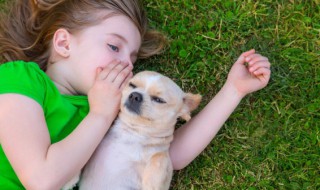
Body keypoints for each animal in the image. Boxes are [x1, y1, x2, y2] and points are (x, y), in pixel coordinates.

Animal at [63, 70, 201, 189]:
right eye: (132, 85)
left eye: (159, 100)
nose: (135, 95)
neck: (133, 132)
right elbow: (82, 157)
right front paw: (68, 180)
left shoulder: (162, 164)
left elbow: (160, 156)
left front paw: (151, 182)